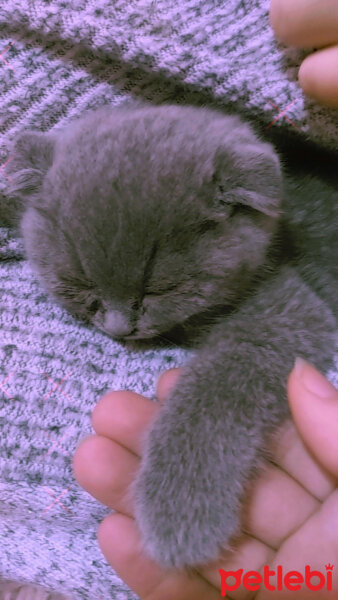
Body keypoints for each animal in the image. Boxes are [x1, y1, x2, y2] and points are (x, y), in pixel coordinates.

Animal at [6, 105, 336, 568]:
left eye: (158, 288)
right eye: (81, 282)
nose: (118, 328)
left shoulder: (292, 312)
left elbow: (219, 386)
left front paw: (180, 512)